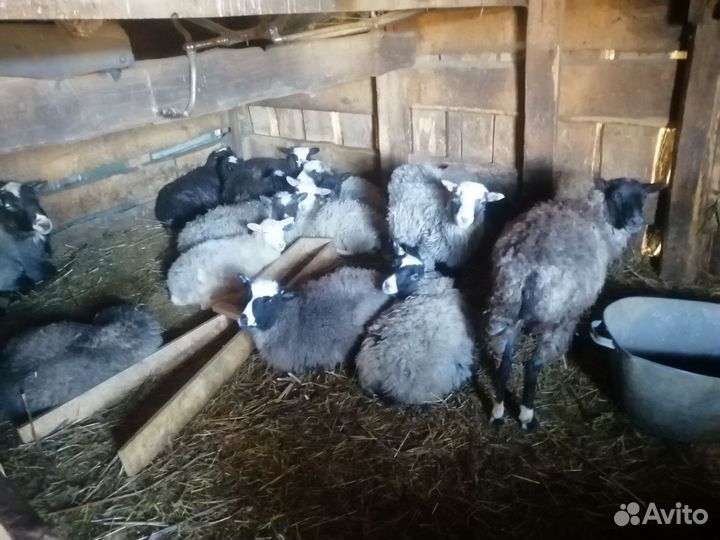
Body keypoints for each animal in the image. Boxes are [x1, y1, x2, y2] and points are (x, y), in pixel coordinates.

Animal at [486, 178, 664, 431]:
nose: (637, 222)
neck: (596, 218)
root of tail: (531, 268)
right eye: (616, 195)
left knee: (506, 361)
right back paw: (527, 416)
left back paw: (498, 412)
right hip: (559, 315)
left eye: (643, 196)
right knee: (532, 364)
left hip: (506, 305)